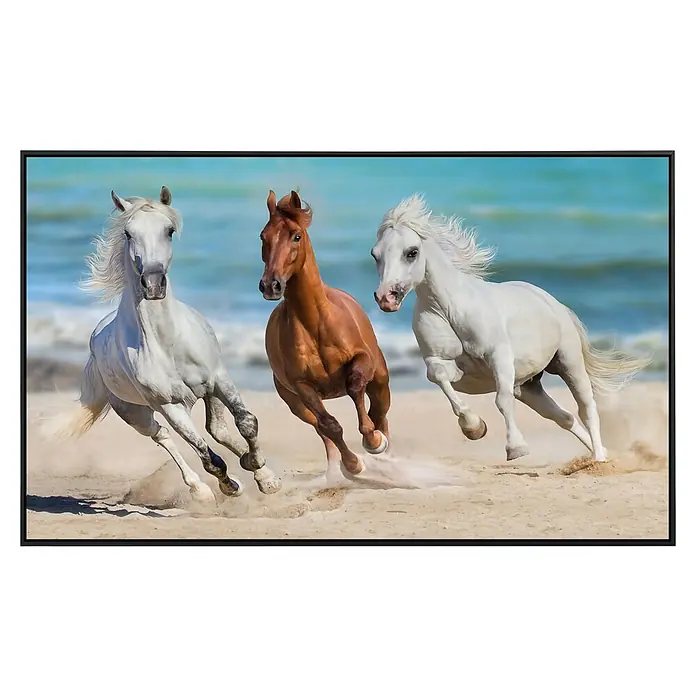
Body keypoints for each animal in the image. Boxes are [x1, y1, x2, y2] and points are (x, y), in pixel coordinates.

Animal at [45, 186, 281, 502]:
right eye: (128, 233)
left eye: (169, 231)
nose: (154, 284)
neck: (168, 342)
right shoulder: (171, 405)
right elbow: (207, 455)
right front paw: (230, 486)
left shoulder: (218, 379)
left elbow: (246, 422)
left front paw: (263, 475)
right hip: (134, 413)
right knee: (162, 436)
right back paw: (200, 490)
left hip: (206, 393)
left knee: (216, 429)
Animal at [259, 190, 391, 484]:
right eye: (263, 236)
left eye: (296, 236)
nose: (270, 285)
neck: (315, 324)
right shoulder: (303, 388)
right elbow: (331, 426)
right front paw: (353, 464)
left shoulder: (362, 360)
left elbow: (355, 386)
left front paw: (372, 441)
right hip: (296, 405)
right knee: (321, 428)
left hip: (380, 378)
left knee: (380, 411)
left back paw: (383, 447)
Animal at [371, 194, 650, 462]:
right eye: (375, 254)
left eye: (411, 252)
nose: (386, 298)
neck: (449, 310)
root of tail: (555, 304)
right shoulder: (443, 364)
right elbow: (439, 377)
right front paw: (474, 427)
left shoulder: (500, 357)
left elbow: (502, 400)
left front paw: (516, 448)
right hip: (528, 387)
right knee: (564, 417)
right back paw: (596, 454)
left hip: (569, 363)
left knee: (587, 408)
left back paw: (600, 458)